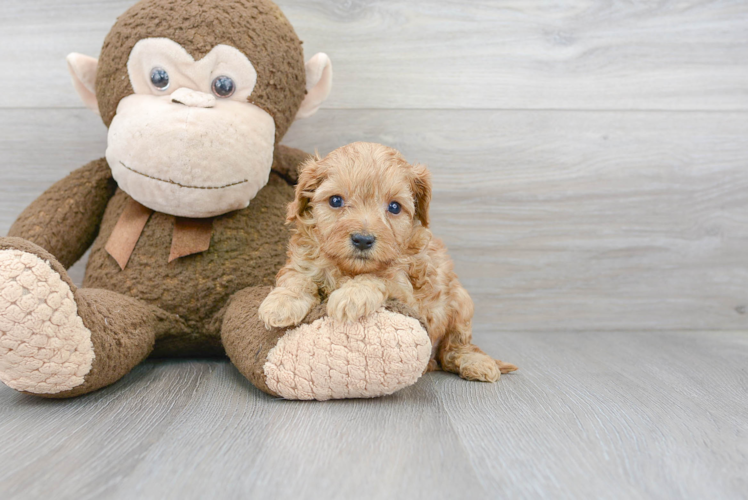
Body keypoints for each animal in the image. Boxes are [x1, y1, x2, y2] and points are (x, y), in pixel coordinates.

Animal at [260, 142, 516, 382]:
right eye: (335, 201)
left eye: (394, 207)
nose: (363, 240)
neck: (349, 268)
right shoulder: (303, 260)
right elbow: (297, 277)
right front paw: (281, 303)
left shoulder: (408, 291)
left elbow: (378, 277)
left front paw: (351, 296)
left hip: (462, 304)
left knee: (455, 348)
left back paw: (476, 362)